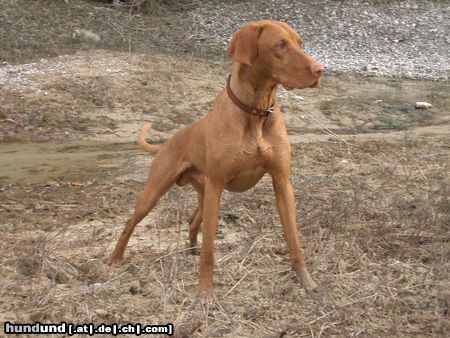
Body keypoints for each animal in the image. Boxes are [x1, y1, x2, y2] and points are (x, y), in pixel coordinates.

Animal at [109, 19, 324, 294]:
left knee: (192, 221)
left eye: (300, 43)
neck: (255, 111)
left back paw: (190, 248)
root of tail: (169, 142)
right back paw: (115, 258)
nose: (320, 70)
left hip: (205, 193)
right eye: (279, 46)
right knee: (130, 223)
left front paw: (306, 281)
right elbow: (209, 250)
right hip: (159, 192)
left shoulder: (282, 182)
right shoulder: (218, 184)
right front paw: (205, 292)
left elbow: (294, 240)